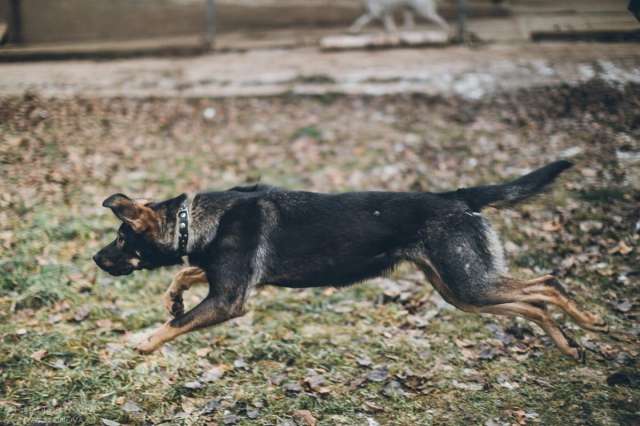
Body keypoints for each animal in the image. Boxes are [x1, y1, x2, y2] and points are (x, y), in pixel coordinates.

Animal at [94, 161, 604, 358]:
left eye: (120, 238)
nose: (96, 259)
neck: (192, 219)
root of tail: (458, 197)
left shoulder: (229, 299)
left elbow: (176, 322)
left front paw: (141, 342)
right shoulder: (228, 281)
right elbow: (184, 272)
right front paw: (173, 298)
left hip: (468, 284)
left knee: (547, 283)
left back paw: (589, 321)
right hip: (461, 292)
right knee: (533, 300)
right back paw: (570, 342)